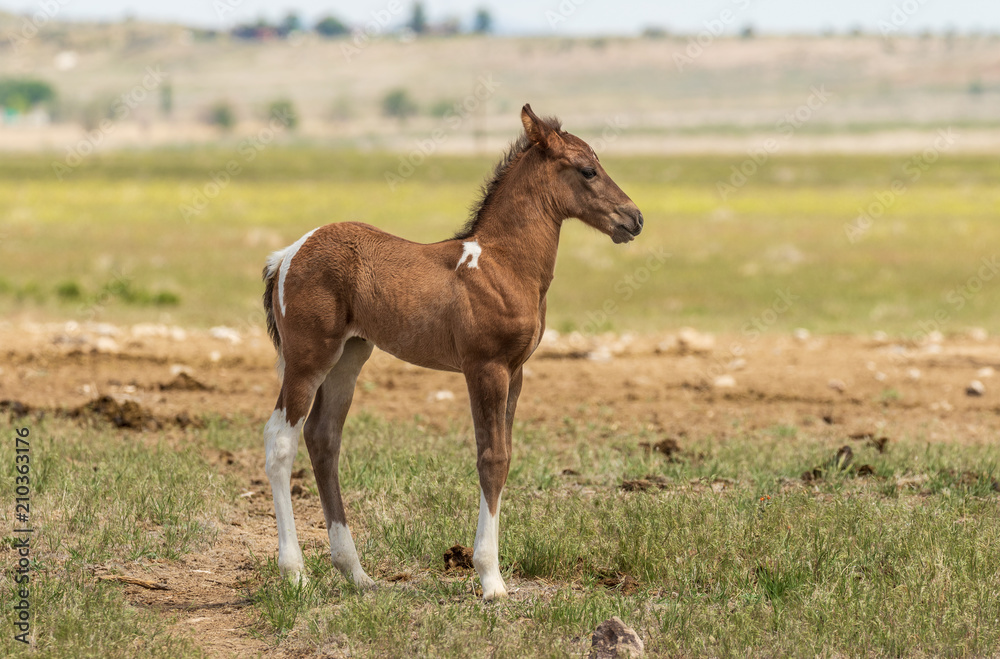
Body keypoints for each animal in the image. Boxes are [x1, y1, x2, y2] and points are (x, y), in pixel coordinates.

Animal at [261, 104, 643, 601]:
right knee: (281, 441)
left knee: (324, 439)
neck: (504, 264)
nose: (634, 218)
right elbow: (491, 459)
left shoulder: (516, 372)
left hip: (349, 357)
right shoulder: (486, 367)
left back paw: (357, 573)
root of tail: (286, 255)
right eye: (587, 170)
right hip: (308, 358)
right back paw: (296, 574)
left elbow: (504, 455)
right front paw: (490, 579)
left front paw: (492, 572)